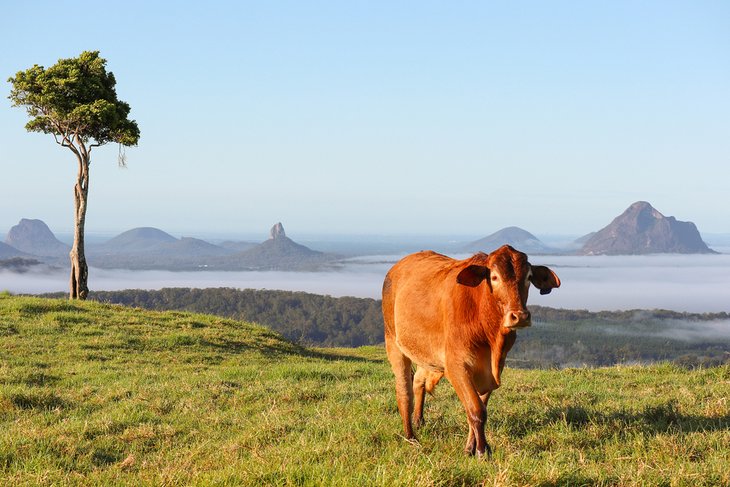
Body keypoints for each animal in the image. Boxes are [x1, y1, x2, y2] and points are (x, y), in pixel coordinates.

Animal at [378, 246, 560, 460]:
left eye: (529, 277)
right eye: (494, 277)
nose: (520, 316)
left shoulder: (493, 369)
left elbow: (480, 408)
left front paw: (470, 448)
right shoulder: (457, 366)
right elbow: (476, 410)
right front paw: (482, 451)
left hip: (427, 354)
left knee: (418, 381)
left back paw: (418, 420)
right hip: (393, 342)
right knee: (404, 390)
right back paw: (411, 436)